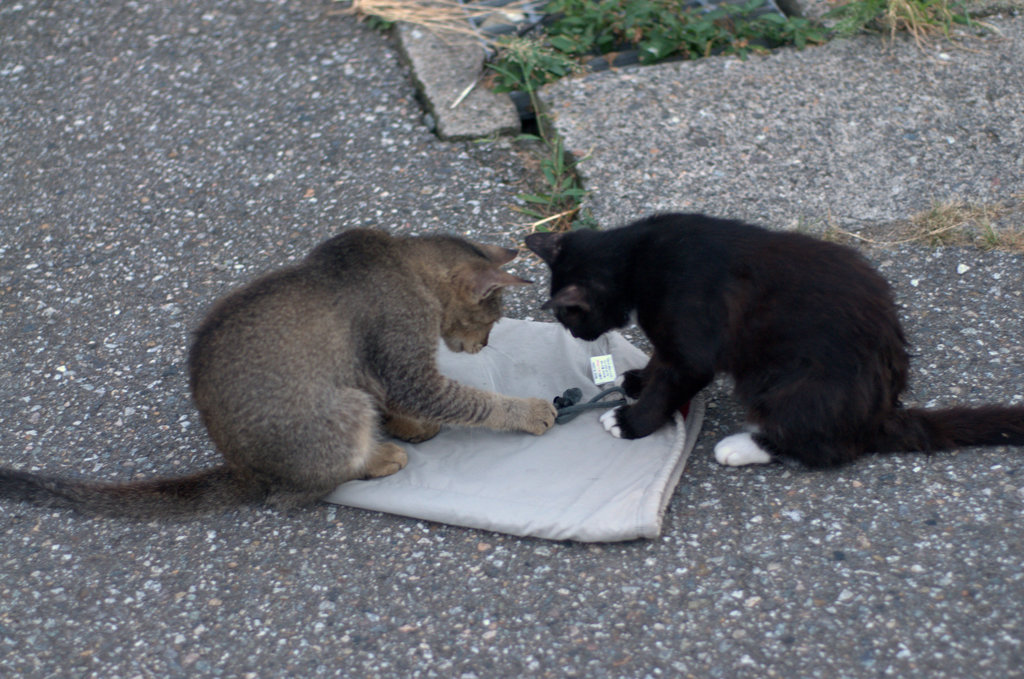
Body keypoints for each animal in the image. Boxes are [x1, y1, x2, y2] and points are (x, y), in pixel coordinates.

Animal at [0, 227, 557, 516]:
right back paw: (379, 458)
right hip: (340, 408)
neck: (399, 259)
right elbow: (465, 400)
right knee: (304, 490)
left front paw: (410, 425)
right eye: (491, 318)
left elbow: (399, 399)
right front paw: (528, 412)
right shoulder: (403, 361)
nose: (483, 344)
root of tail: (246, 471)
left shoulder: (375, 367)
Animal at [528, 213, 1024, 467]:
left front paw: (631, 420)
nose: (575, 333)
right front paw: (636, 380)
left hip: (785, 381)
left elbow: (673, 380)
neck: (636, 255)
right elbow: (660, 362)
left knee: (827, 448)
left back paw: (742, 446)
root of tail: (880, 414)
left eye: (570, 316)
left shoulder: (693, 343)